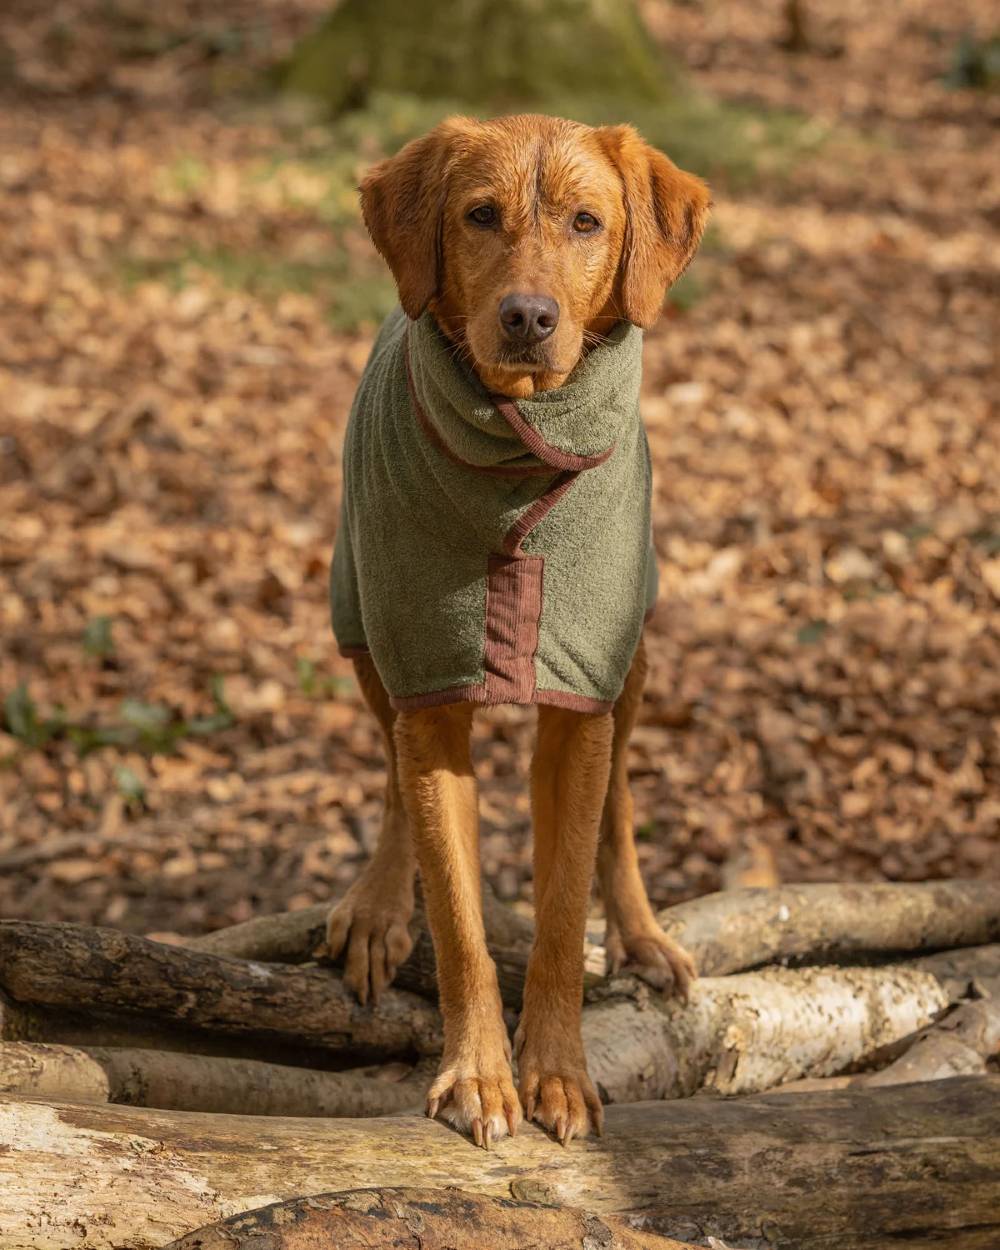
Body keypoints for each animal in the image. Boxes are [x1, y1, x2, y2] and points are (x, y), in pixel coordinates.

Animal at [325, 112, 705, 1145]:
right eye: (480, 216)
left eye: (585, 222)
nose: (528, 317)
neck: (517, 453)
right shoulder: (425, 684)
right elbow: (457, 914)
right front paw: (479, 1077)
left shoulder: (581, 700)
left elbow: (563, 913)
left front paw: (560, 1074)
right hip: (361, 619)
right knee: (389, 775)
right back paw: (379, 904)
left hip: (634, 656)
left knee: (620, 806)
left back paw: (643, 934)